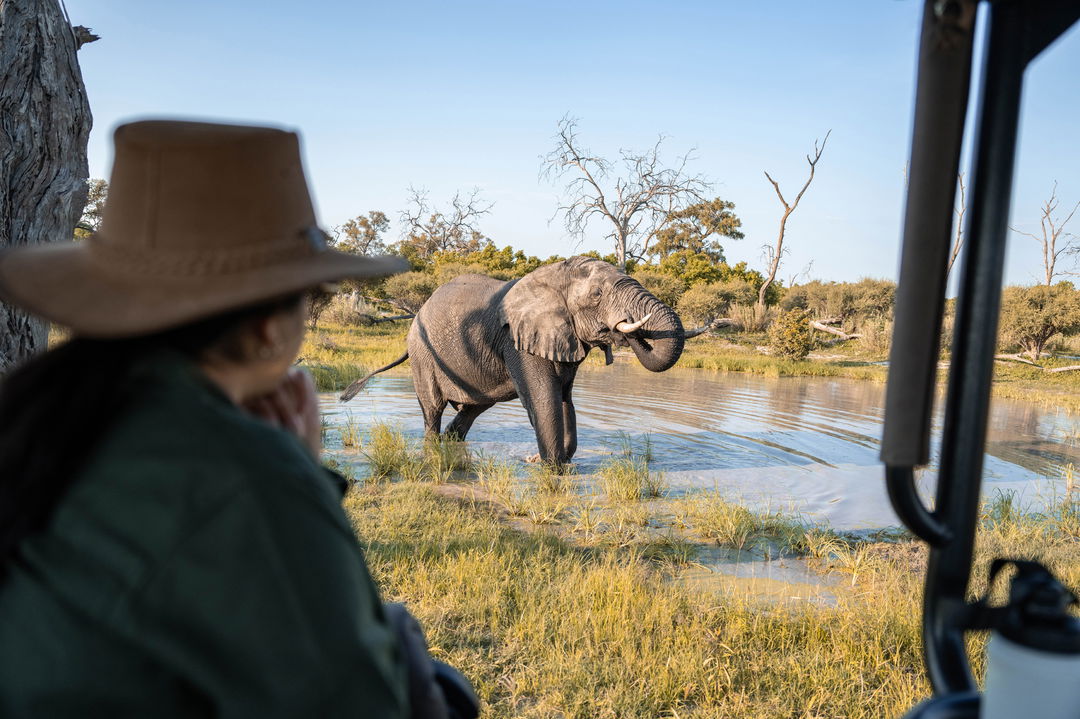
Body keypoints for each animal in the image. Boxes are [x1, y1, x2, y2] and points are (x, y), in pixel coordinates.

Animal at [340, 256, 688, 466]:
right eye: (597, 295)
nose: (628, 329)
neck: (554, 276)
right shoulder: (517, 341)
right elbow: (544, 398)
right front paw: (548, 466)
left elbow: (564, 399)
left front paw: (560, 462)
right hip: (423, 356)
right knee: (432, 410)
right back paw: (433, 451)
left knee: (472, 409)